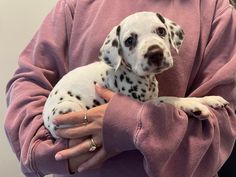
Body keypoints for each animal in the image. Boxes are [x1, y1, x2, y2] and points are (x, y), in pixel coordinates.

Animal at [42, 11, 229, 138]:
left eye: (161, 31)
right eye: (129, 41)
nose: (155, 53)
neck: (145, 79)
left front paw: (210, 99)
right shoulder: (142, 103)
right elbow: (170, 99)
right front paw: (192, 105)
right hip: (70, 108)